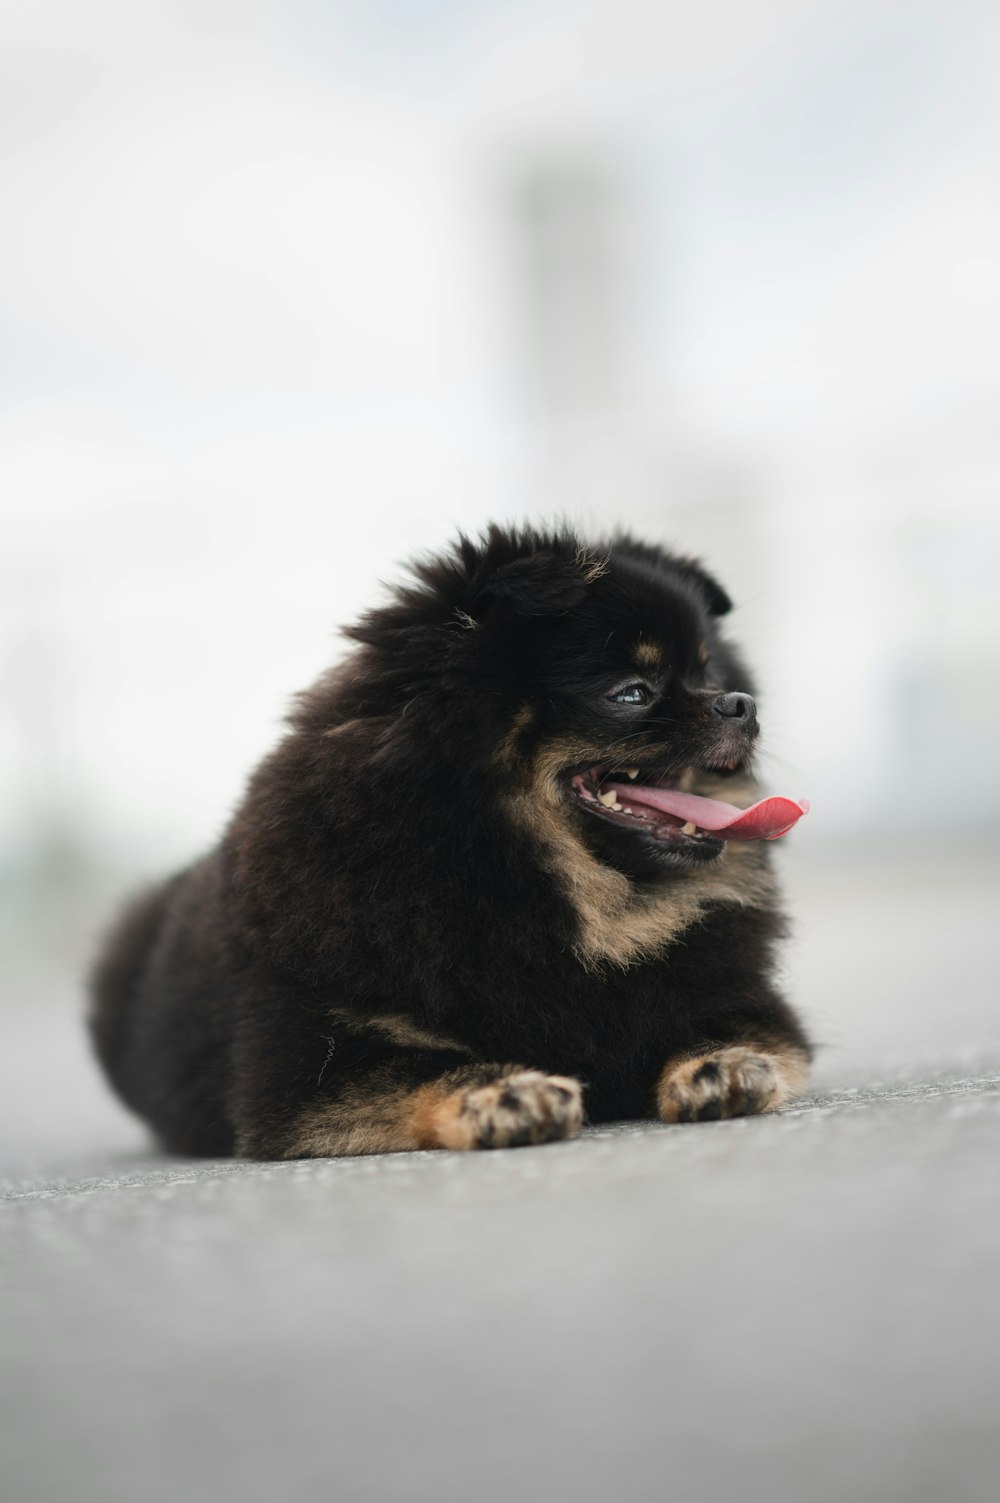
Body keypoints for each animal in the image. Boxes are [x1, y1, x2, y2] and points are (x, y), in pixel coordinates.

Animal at [89, 523, 812, 1154]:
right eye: (632, 693)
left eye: (711, 677)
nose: (742, 703)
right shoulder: (307, 1071)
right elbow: (423, 1071)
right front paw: (507, 1092)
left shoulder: (744, 1003)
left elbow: (723, 1027)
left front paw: (722, 1064)